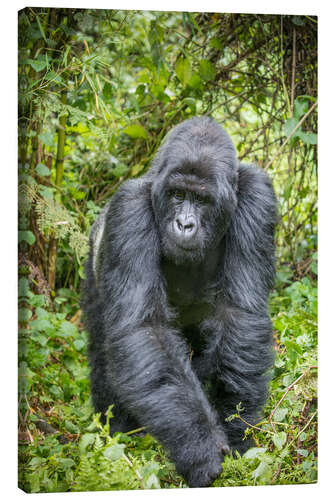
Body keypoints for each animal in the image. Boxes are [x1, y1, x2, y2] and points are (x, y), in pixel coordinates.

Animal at [81, 115, 276, 486]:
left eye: (201, 200)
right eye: (177, 195)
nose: (184, 224)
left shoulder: (259, 196)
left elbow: (239, 314)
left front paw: (236, 428)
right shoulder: (128, 210)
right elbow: (145, 330)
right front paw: (200, 450)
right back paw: (119, 429)